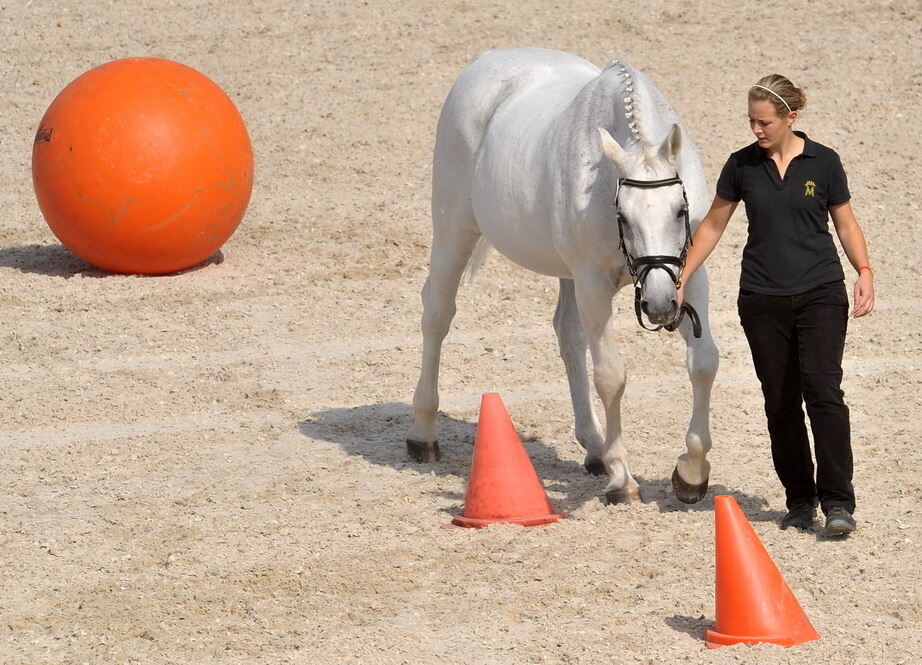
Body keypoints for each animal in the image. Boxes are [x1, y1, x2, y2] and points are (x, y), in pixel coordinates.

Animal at [406, 48, 716, 504]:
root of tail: (488, 59)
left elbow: (704, 362)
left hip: (568, 274)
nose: (660, 306)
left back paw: (594, 448)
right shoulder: (592, 283)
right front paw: (622, 479)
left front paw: (691, 473)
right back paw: (423, 433)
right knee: (437, 314)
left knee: (568, 335)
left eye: (680, 210)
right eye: (622, 215)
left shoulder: (690, 275)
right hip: (454, 229)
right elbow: (611, 376)